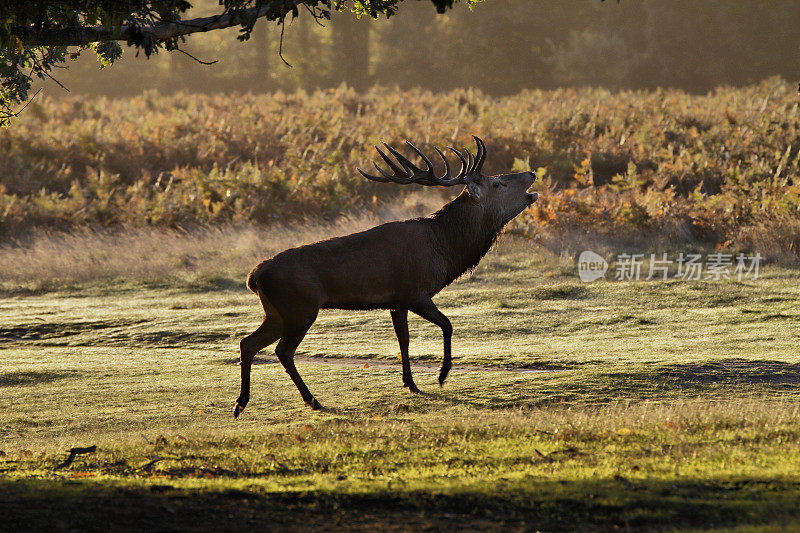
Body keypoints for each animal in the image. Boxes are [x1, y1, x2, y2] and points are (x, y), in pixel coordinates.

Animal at [234, 134, 540, 416]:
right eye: (497, 184)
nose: (531, 173)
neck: (444, 250)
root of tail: (254, 276)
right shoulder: (415, 292)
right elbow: (447, 325)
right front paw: (441, 375)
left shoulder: (397, 302)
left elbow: (403, 339)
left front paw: (411, 383)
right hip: (300, 309)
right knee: (283, 351)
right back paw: (312, 400)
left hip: (277, 313)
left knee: (248, 343)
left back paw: (241, 403)